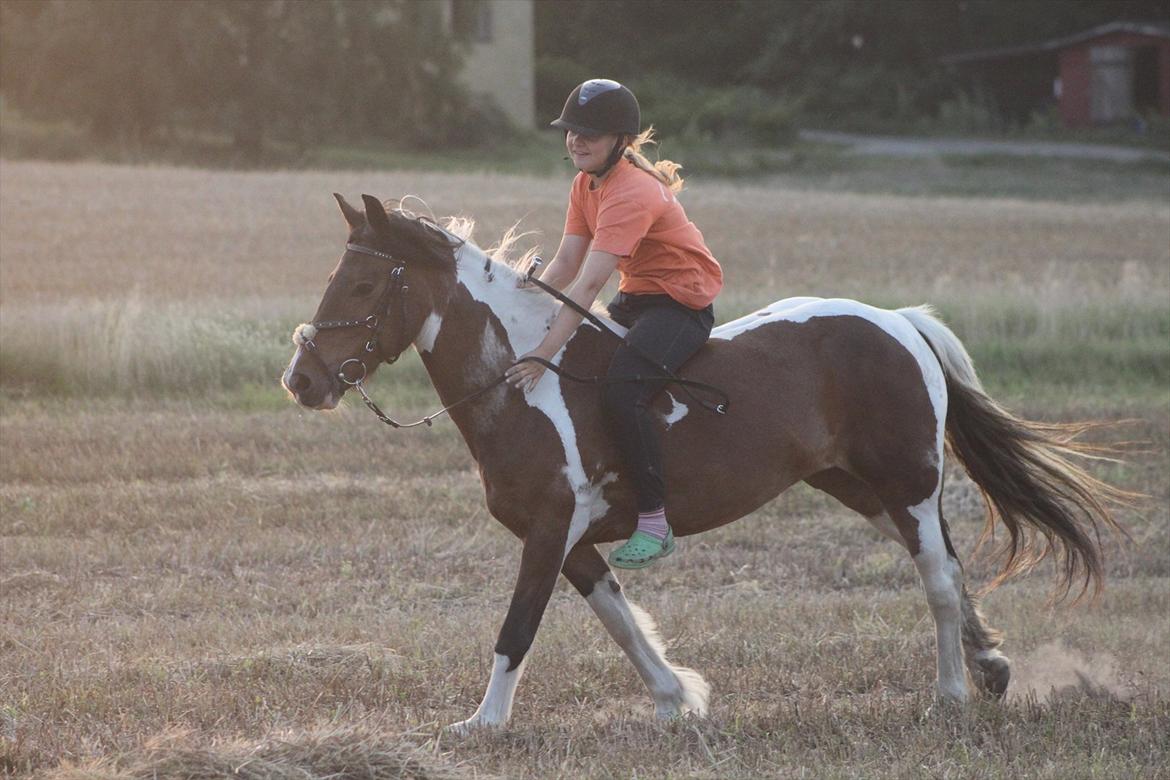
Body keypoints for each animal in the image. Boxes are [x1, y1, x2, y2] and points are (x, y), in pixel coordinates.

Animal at [280, 195, 1123, 734]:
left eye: (361, 282)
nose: (302, 381)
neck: (522, 380)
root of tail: (899, 322)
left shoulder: (550, 529)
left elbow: (517, 628)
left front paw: (482, 723)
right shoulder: (571, 539)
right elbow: (621, 621)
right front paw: (675, 699)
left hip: (907, 484)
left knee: (940, 580)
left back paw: (950, 694)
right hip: (860, 487)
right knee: (944, 562)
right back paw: (991, 669)